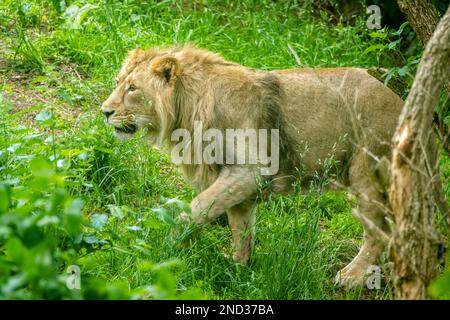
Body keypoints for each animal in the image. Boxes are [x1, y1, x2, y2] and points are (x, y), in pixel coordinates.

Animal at [102, 45, 404, 288]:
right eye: (117, 82)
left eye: (132, 88)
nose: (104, 112)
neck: (187, 107)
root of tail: (400, 102)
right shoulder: (240, 184)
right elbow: (241, 230)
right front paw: (239, 271)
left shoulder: (252, 170)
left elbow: (193, 210)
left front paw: (170, 247)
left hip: (366, 173)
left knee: (380, 232)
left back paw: (353, 277)